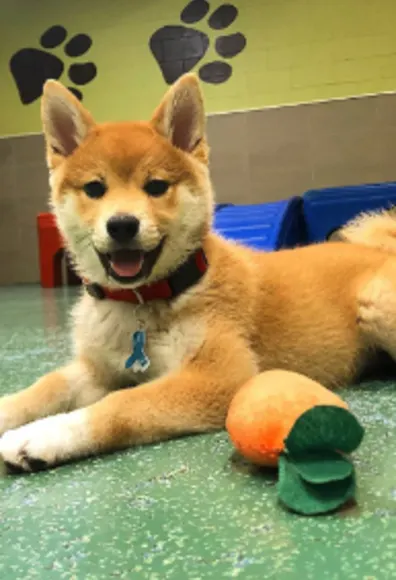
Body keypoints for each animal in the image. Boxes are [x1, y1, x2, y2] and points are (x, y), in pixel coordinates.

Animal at [0, 73, 396, 472]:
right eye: (95, 188)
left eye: (156, 186)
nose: (122, 224)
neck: (143, 303)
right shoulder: (98, 368)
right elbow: (47, 385)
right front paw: (10, 410)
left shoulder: (220, 376)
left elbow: (122, 404)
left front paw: (45, 434)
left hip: (375, 305)